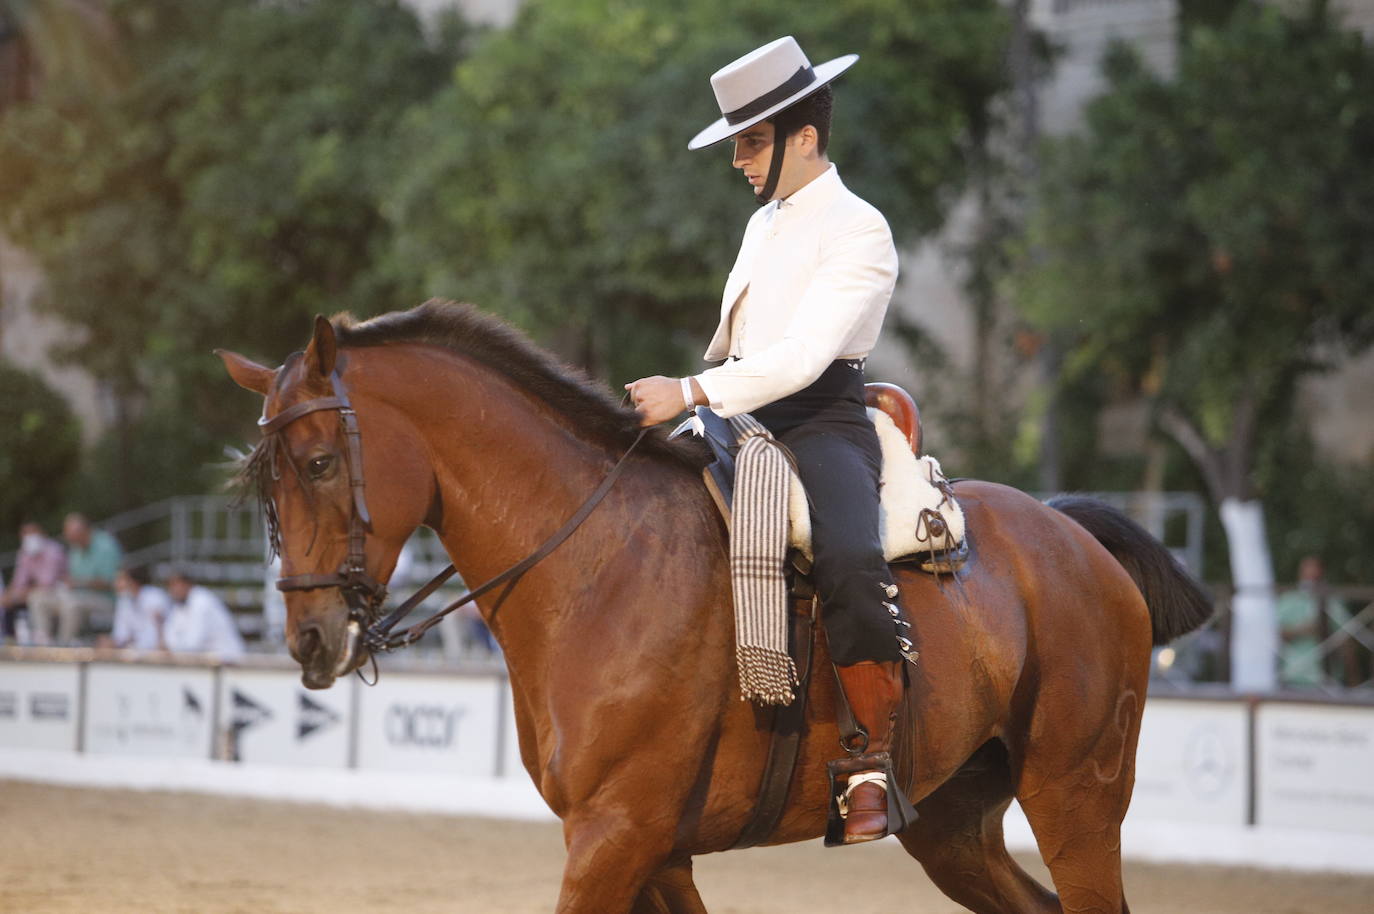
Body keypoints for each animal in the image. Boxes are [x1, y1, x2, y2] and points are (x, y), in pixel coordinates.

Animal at [219, 302, 1209, 912]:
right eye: (263, 484)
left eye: (318, 463)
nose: (310, 639)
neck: (593, 568)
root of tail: (1071, 533)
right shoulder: (653, 848)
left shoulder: (615, 835)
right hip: (957, 826)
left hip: (1077, 799)